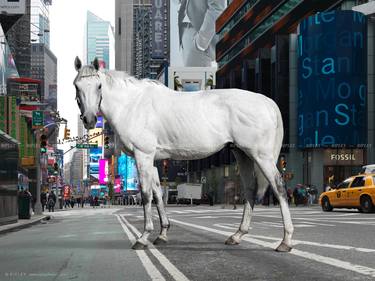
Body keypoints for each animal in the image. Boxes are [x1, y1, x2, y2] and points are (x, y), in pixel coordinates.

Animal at [73, 57, 296, 252]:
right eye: (77, 86)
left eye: (99, 86)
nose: (90, 119)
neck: (132, 104)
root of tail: (267, 101)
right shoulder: (154, 160)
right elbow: (158, 193)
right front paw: (162, 234)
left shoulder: (143, 155)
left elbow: (146, 194)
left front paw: (143, 237)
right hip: (242, 154)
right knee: (250, 189)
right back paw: (237, 235)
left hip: (261, 156)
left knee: (279, 187)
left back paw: (285, 241)